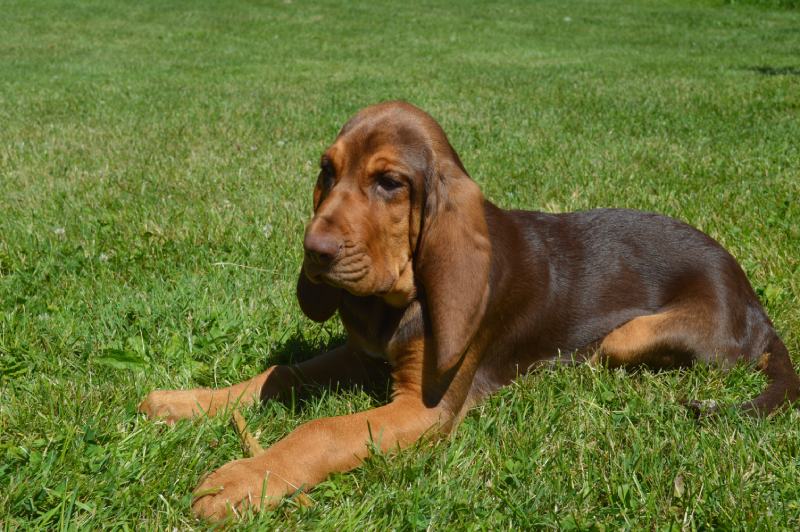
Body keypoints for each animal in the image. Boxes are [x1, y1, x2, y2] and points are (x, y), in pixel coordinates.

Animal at [139, 101, 800, 520]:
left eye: (389, 183)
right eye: (328, 170)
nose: (314, 251)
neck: (400, 297)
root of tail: (755, 303)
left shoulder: (422, 410)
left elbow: (321, 429)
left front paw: (241, 480)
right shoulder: (358, 356)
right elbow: (276, 376)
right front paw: (186, 403)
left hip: (627, 336)